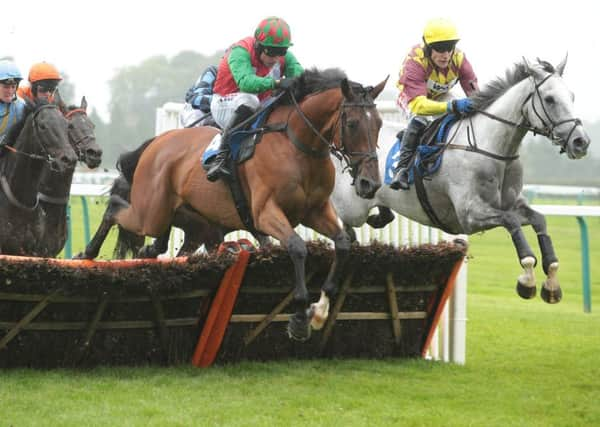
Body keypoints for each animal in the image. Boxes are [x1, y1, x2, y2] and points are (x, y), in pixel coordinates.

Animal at [78, 67, 384, 342]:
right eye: (352, 123)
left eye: (379, 123)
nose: (370, 183)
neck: (298, 146)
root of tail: (158, 141)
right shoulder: (265, 213)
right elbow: (297, 248)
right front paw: (299, 317)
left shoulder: (316, 211)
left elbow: (343, 244)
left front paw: (320, 311)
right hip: (150, 212)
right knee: (115, 206)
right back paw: (88, 252)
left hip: (190, 220)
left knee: (164, 234)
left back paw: (148, 250)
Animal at [332, 56, 592, 304]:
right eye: (549, 99)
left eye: (571, 96)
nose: (581, 142)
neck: (492, 149)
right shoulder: (470, 215)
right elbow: (511, 222)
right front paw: (527, 279)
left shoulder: (512, 204)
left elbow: (539, 220)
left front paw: (551, 283)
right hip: (352, 209)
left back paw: (379, 217)